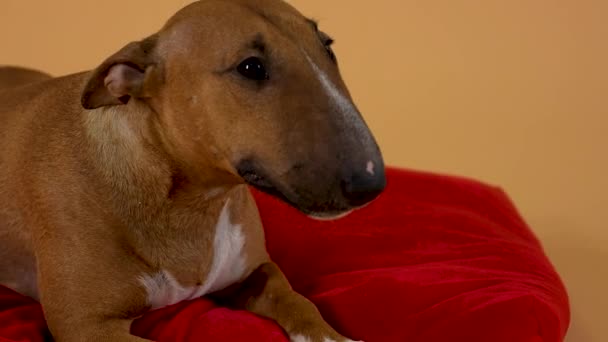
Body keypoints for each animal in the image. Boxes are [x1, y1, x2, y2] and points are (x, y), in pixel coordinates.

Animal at [0, 1, 388, 340]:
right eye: (250, 67)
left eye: (328, 47)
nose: (371, 182)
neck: (193, 202)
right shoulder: (87, 327)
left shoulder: (257, 270)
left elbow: (298, 300)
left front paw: (335, 337)